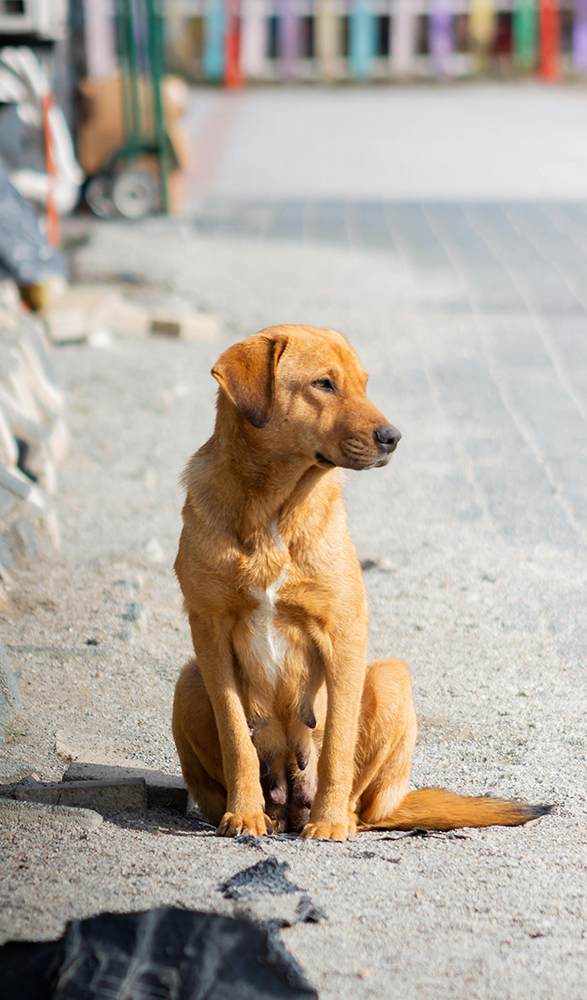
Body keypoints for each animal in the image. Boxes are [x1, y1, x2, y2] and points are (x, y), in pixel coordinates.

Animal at [172, 324, 548, 840]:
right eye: (324, 384)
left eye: (364, 384)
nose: (394, 437)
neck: (273, 509)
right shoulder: (209, 630)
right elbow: (236, 739)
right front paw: (244, 812)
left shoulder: (344, 631)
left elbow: (337, 743)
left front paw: (328, 822)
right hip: (188, 681)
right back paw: (262, 811)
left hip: (391, 679)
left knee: (359, 800)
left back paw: (335, 816)